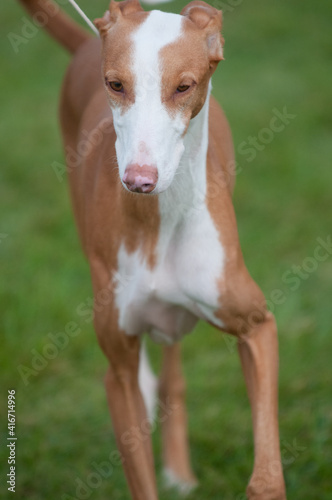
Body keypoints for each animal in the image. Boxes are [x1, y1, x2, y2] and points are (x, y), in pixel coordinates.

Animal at [18, 0, 286, 500]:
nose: (139, 180)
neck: (160, 219)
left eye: (184, 86)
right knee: (151, 376)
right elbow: (137, 461)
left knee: (173, 369)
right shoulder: (117, 372)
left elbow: (266, 476)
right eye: (115, 84)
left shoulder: (257, 325)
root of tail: (86, 43)